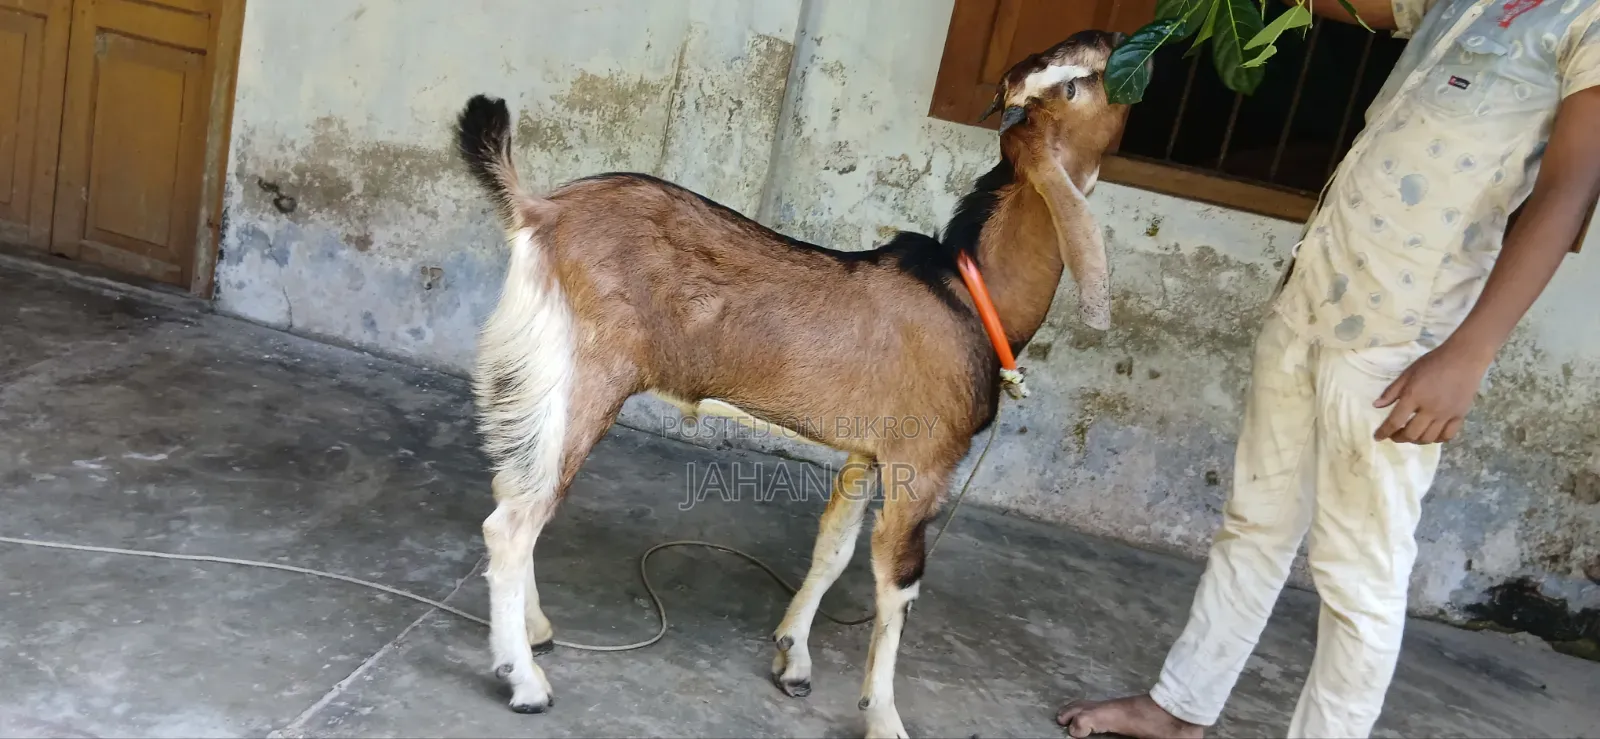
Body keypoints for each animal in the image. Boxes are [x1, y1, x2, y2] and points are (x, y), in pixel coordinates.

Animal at [454, 30, 1133, 739]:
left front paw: (794, 658)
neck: (969, 292)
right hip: (584, 375)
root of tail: (539, 212)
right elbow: (898, 584)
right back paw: (524, 680)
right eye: (1078, 85)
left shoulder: (868, 452)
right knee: (515, 519)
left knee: (519, 487)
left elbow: (832, 548)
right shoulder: (923, 461)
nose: (1112, 36)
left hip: (535, 375)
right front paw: (883, 716)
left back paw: (536, 629)